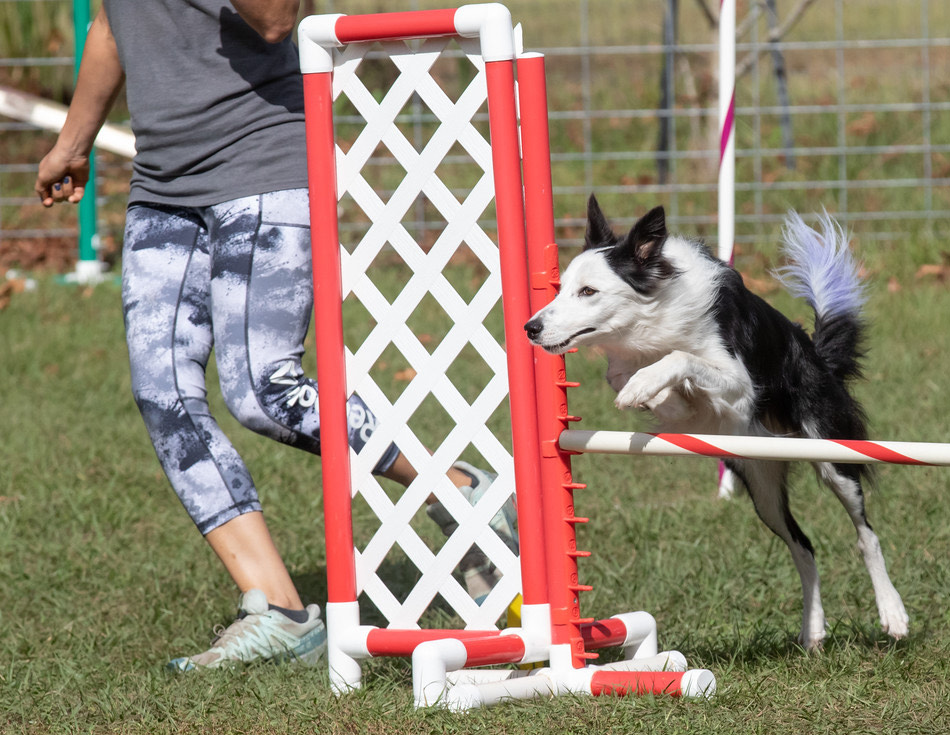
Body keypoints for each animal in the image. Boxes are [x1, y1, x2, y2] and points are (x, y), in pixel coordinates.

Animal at [524, 197, 912, 648]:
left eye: (588, 291)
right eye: (561, 288)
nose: (530, 328)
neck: (654, 318)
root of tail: (817, 355)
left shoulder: (740, 384)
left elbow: (680, 358)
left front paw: (645, 385)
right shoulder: (643, 376)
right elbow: (631, 378)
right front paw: (654, 394)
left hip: (832, 455)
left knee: (866, 534)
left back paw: (893, 615)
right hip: (763, 488)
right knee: (803, 546)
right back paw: (813, 630)